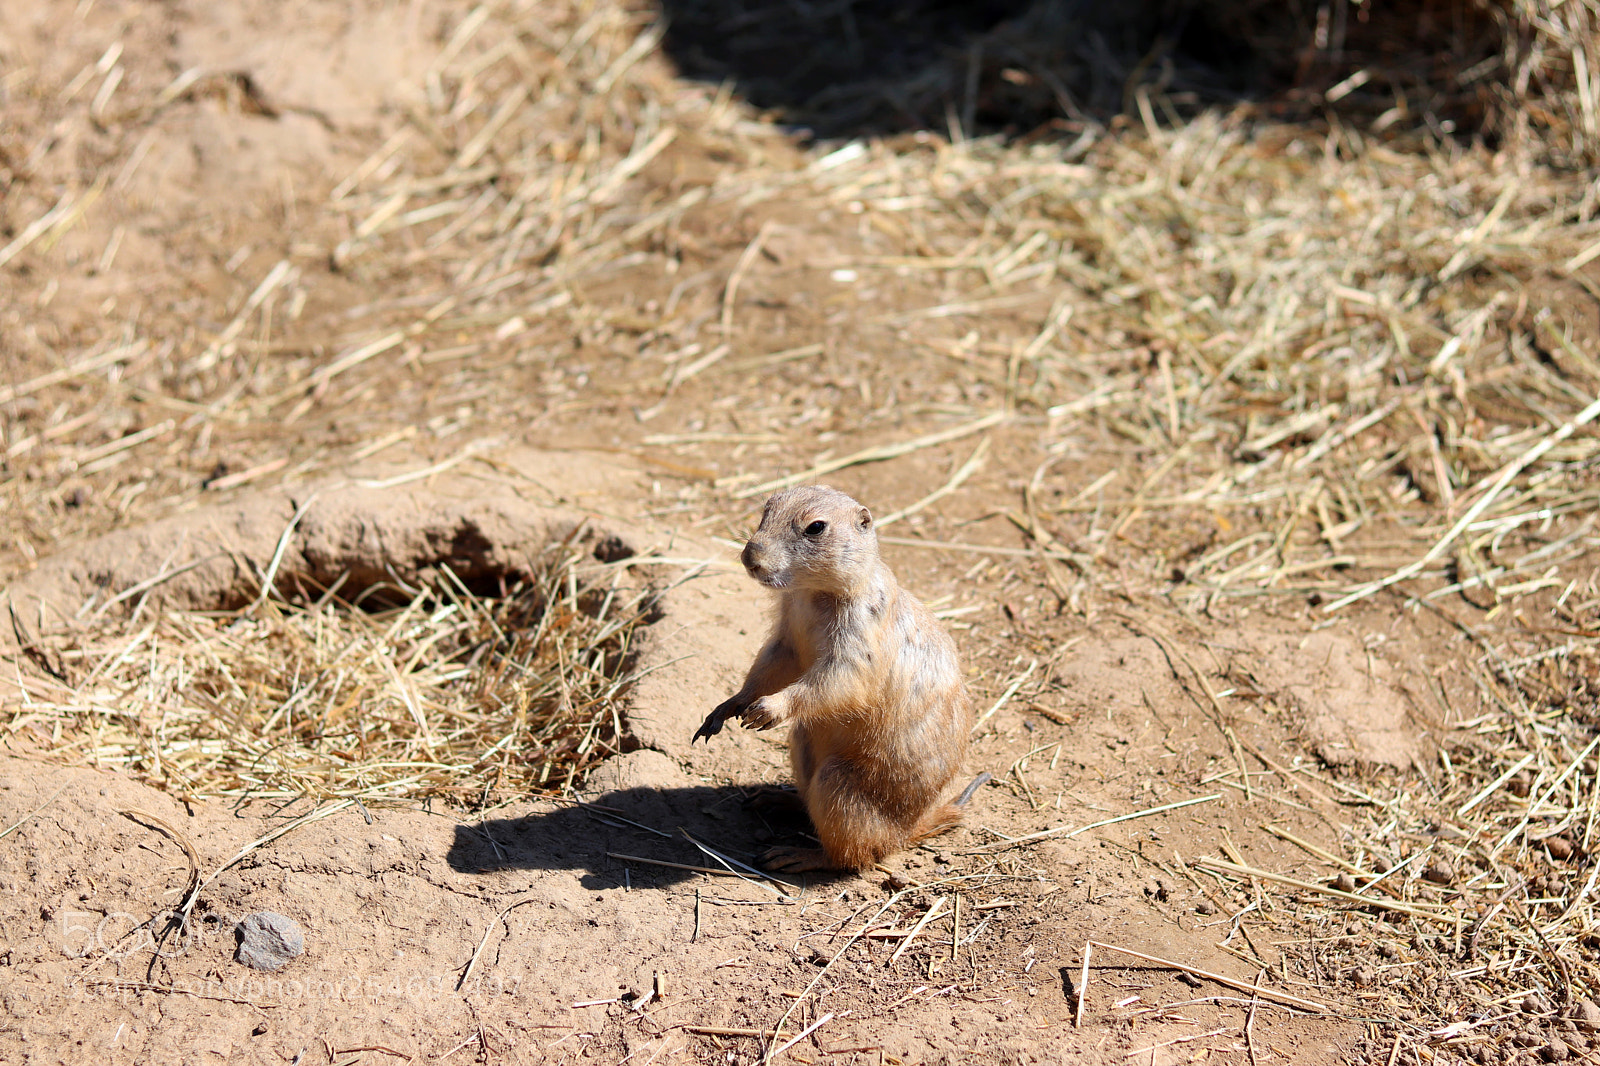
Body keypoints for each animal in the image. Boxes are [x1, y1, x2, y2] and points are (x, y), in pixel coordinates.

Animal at [694, 485, 987, 872]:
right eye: (766, 509)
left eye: (816, 527)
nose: (749, 557)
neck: (812, 593)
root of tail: (907, 831)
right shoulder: (786, 635)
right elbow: (770, 663)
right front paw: (726, 709)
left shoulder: (860, 634)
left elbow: (839, 678)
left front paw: (767, 709)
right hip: (802, 743)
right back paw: (772, 799)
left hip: (839, 787)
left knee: (852, 856)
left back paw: (792, 855)